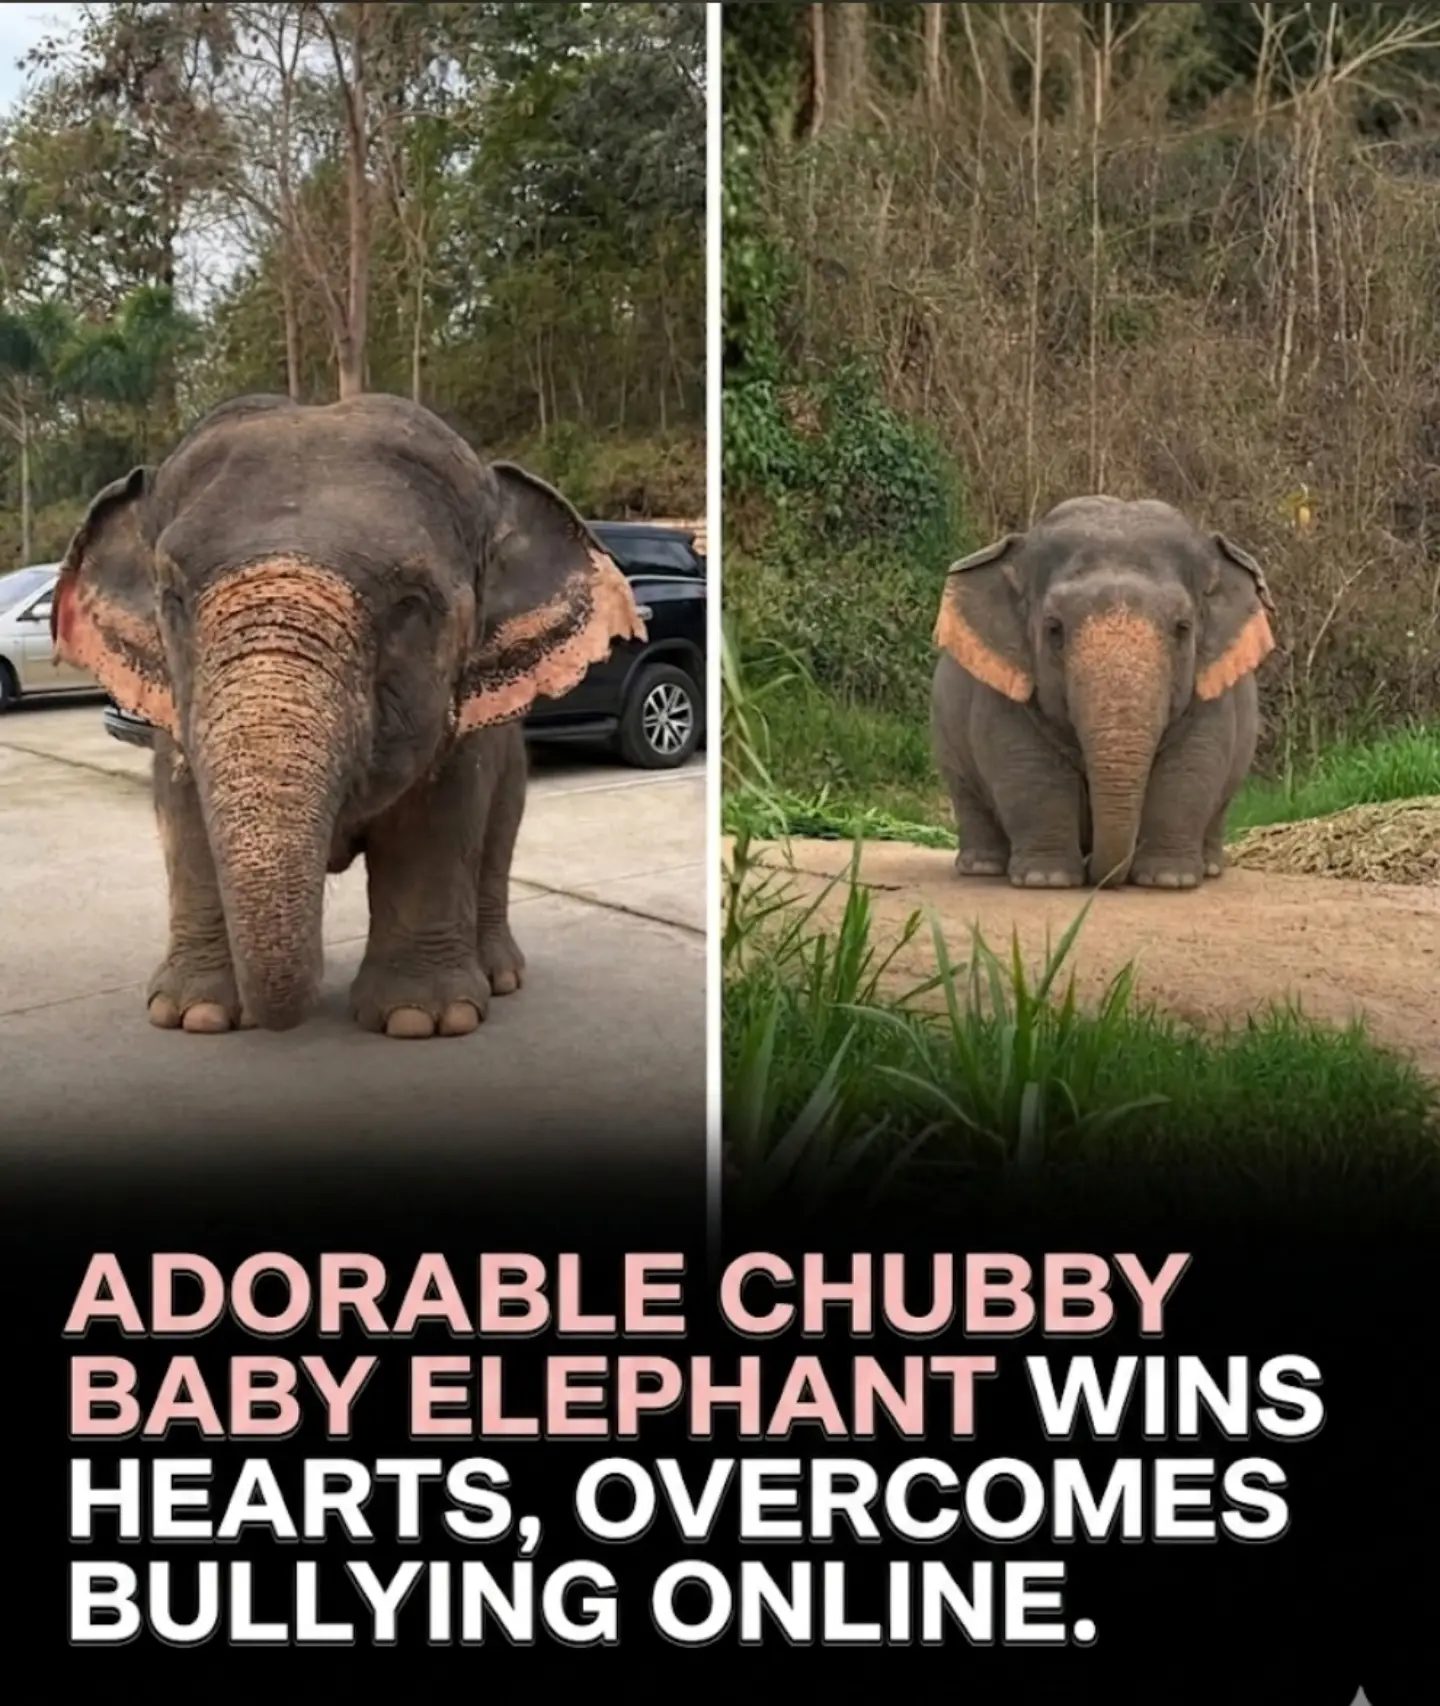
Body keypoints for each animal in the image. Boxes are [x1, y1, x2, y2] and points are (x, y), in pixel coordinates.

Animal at [51, 392, 645, 1037]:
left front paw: (420, 1019)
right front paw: (196, 1015)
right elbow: (183, 815)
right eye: (173, 597)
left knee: (498, 836)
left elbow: (435, 820)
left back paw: (499, 977)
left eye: (412, 603)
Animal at [929, 495, 1277, 890]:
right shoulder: (1005, 685)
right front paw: (1045, 879)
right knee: (967, 794)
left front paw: (1168, 879)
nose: (1098, 871)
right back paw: (982, 867)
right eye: (1054, 628)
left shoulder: (1210, 686)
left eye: (1183, 628)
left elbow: (1192, 763)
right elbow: (1028, 765)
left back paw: (1212, 868)